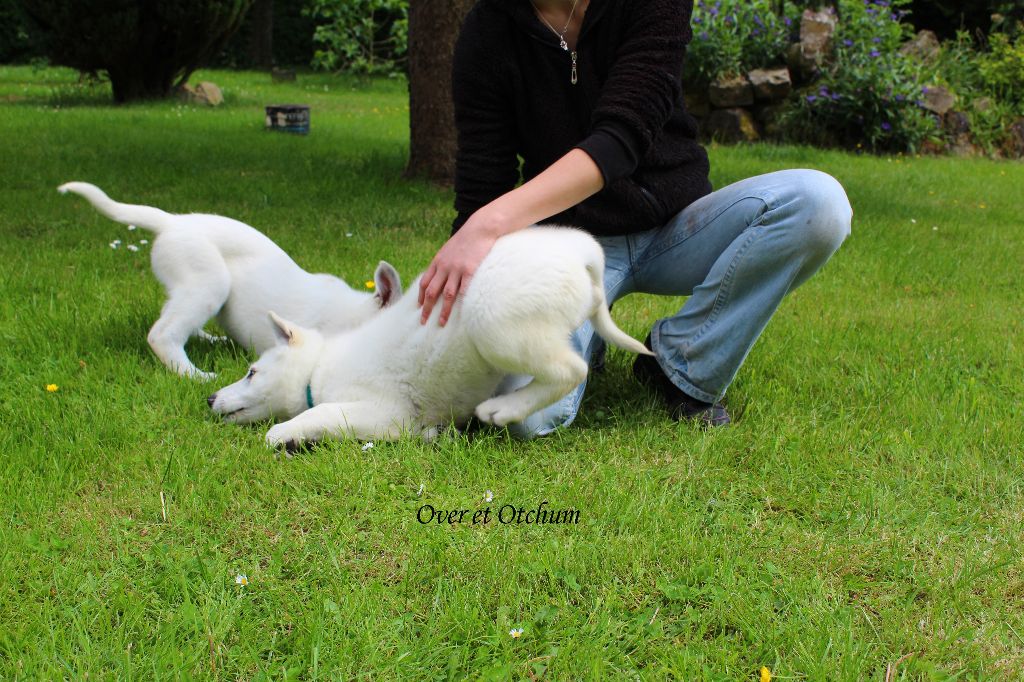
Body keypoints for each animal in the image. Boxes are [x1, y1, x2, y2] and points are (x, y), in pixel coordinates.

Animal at [58, 182, 400, 379]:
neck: (358, 317)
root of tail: (171, 221)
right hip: (208, 282)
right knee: (162, 334)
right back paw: (194, 375)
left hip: (189, 290)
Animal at [208, 226, 653, 448]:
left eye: (251, 372)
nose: (209, 398)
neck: (318, 369)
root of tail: (579, 250)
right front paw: (436, 435)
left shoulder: (383, 412)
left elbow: (318, 414)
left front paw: (282, 433)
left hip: (496, 327)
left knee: (572, 369)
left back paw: (503, 409)